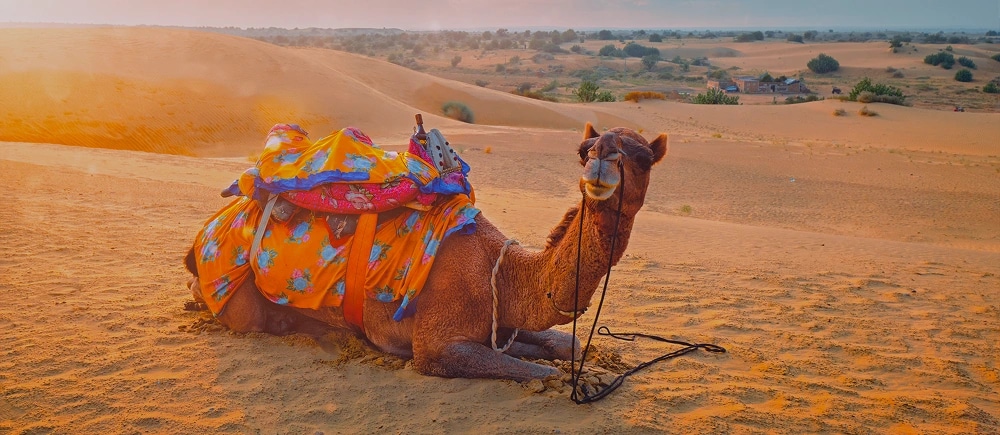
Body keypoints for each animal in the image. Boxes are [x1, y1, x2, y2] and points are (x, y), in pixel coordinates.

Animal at [185, 123, 668, 381]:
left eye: (643, 158)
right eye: (584, 151)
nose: (601, 160)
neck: (501, 271)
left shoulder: (500, 323)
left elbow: (560, 342)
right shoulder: (435, 347)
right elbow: (545, 372)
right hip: (236, 299)